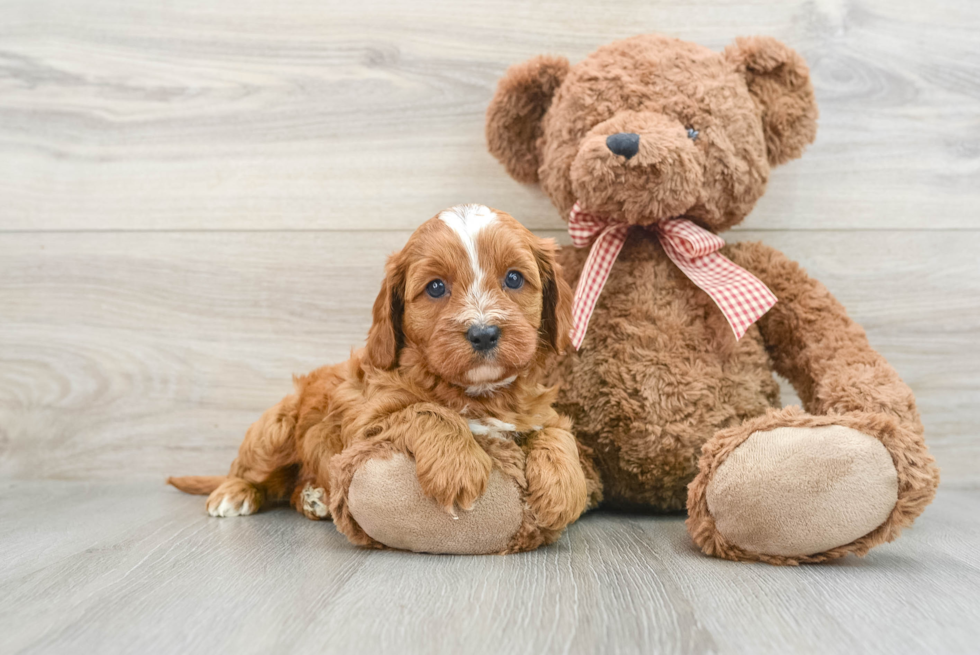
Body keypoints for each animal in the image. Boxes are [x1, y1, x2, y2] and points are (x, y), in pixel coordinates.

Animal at [168, 205, 588, 552]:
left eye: (514, 279)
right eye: (436, 287)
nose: (483, 333)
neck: (477, 392)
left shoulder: (535, 411)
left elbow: (557, 432)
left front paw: (563, 489)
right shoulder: (366, 422)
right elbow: (425, 411)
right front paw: (458, 467)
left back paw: (313, 497)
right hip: (275, 429)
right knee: (249, 470)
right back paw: (234, 493)